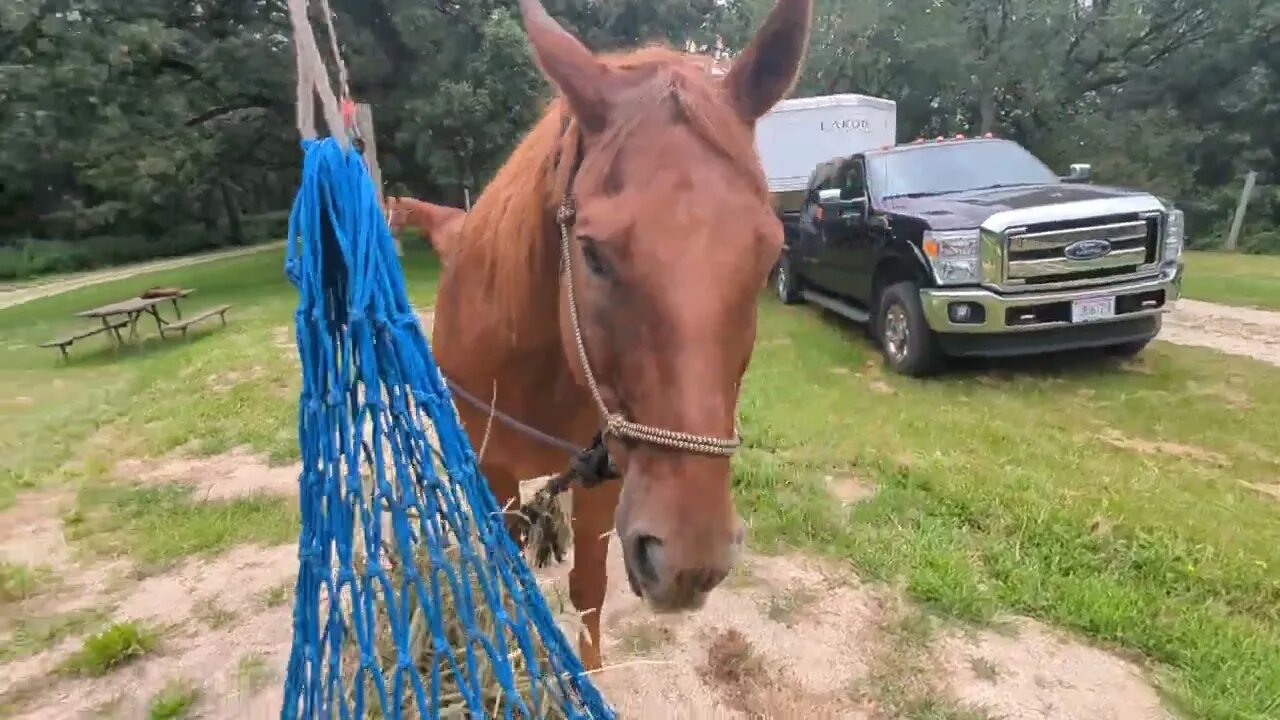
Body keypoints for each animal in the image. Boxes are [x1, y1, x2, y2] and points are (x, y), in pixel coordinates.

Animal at [430, 0, 808, 666]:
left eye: (769, 257)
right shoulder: (494, 469)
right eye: (593, 254)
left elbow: (588, 585)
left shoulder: (605, 473)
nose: (690, 559)